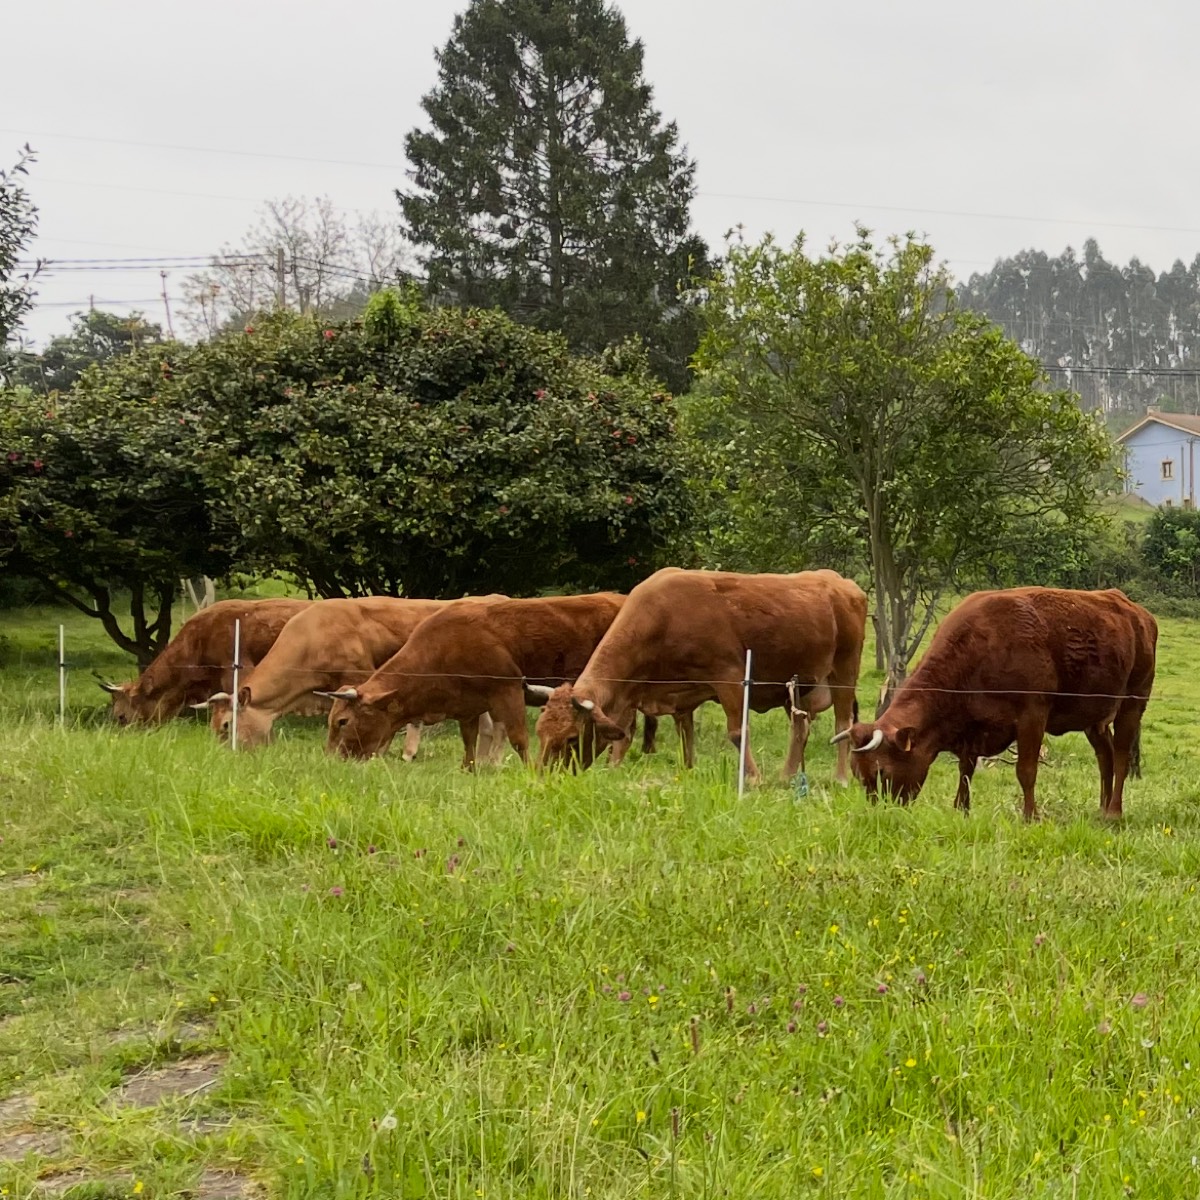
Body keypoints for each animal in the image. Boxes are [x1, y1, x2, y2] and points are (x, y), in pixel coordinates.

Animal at [324, 593, 627, 767]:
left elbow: (519, 738)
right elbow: (469, 739)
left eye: (343, 721)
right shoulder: (468, 706)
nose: (333, 760)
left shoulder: (508, 691)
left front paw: (529, 769)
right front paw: (469, 769)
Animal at [533, 568, 868, 782]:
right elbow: (679, 734)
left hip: (844, 671)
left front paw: (753, 778)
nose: (542, 777)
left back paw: (840, 778)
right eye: (540, 732)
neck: (661, 619)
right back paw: (786, 777)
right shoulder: (674, 694)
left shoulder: (730, 676)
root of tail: (840, 582)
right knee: (800, 728)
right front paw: (687, 771)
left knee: (842, 723)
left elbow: (737, 731)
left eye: (571, 738)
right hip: (796, 686)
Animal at [831, 587, 1157, 821]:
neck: (980, 648)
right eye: (859, 775)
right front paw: (961, 809)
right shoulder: (973, 728)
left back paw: (1114, 812)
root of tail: (1140, 615)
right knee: (1105, 756)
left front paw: (1030, 816)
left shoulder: (1032, 715)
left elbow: (1026, 770)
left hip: (1132, 705)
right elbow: (965, 769)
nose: (882, 812)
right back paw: (1101, 808)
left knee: (1122, 755)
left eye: (882, 772)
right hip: (1094, 719)